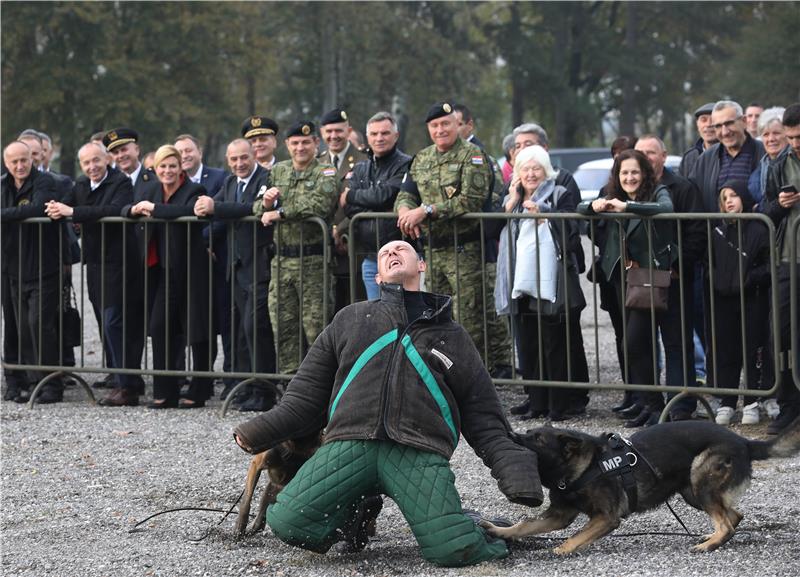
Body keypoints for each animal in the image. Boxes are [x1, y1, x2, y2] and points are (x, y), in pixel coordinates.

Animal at [482, 418, 800, 552]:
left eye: (536, 439)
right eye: (528, 432)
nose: (511, 434)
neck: (584, 467)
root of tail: (744, 442)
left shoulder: (606, 518)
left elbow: (575, 536)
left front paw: (560, 551)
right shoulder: (558, 516)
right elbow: (524, 525)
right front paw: (499, 531)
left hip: (700, 480)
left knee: (727, 522)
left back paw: (709, 545)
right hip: (691, 490)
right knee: (734, 516)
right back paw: (712, 539)